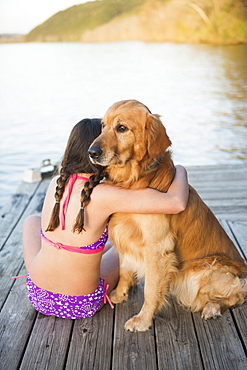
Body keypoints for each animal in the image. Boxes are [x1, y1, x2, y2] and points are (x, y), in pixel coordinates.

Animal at [88, 99, 246, 330]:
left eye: (122, 128)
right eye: (103, 125)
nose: (92, 151)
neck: (133, 181)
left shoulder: (157, 246)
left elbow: (151, 289)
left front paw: (143, 320)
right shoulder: (124, 235)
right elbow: (124, 269)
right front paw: (119, 293)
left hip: (202, 270)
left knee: (238, 293)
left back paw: (213, 307)